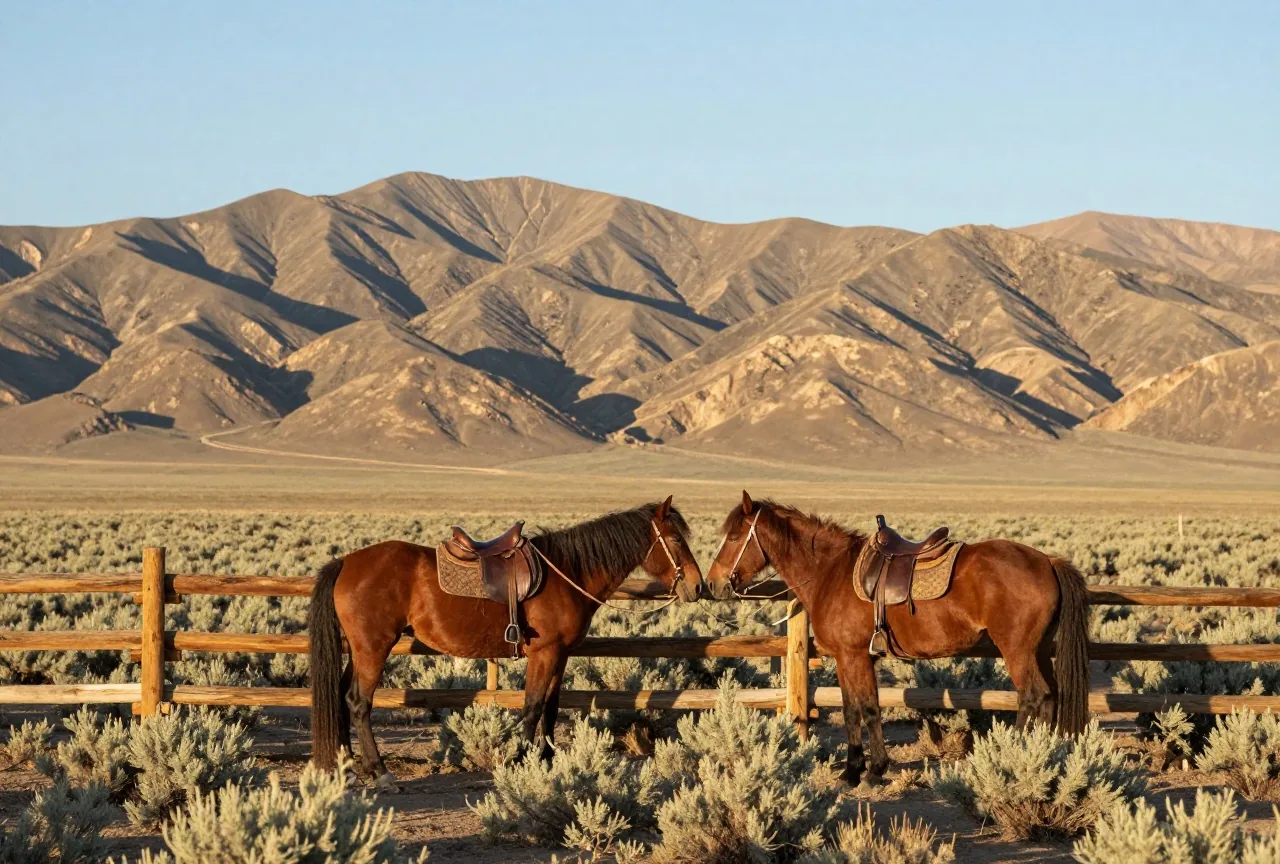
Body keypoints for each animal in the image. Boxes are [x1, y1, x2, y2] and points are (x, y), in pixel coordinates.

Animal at [309, 497, 703, 788]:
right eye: (676, 540)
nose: (697, 586)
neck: (569, 572)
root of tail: (345, 562)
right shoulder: (544, 653)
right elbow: (532, 706)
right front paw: (520, 760)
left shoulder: (560, 655)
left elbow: (550, 707)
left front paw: (547, 758)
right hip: (373, 648)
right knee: (359, 702)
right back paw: (380, 772)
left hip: (357, 650)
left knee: (340, 697)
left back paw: (347, 768)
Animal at [705, 491, 1089, 789]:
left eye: (735, 537)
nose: (713, 583)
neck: (829, 571)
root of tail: (1047, 561)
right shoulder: (854, 658)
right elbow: (855, 708)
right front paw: (859, 769)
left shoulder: (853, 656)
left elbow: (865, 710)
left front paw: (868, 771)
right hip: (1039, 649)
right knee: (1051, 697)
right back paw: (1045, 752)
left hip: (1017, 650)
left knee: (1033, 696)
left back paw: (1012, 755)